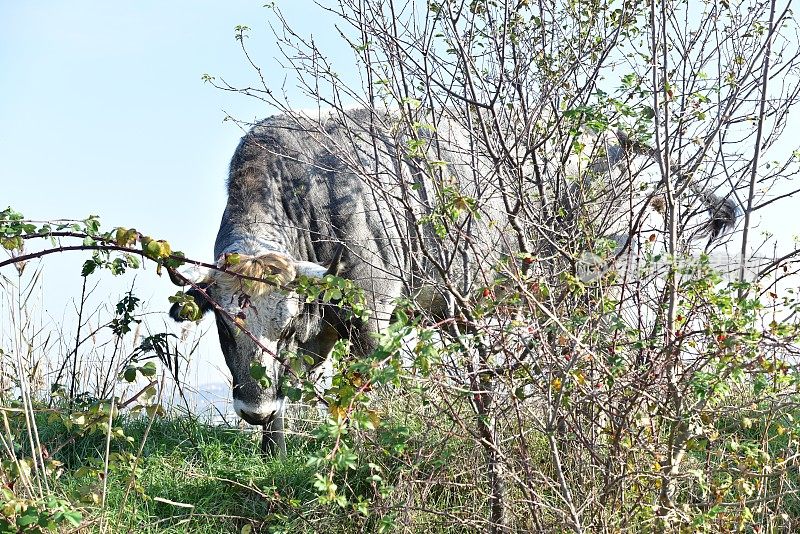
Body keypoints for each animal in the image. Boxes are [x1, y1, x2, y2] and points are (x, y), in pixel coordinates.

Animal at [167, 109, 736, 456]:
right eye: (223, 327)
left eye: (281, 327)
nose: (252, 408)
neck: (303, 193)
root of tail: (616, 141)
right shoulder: (322, 329)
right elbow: (293, 389)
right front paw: (276, 451)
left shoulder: (370, 315)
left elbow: (366, 392)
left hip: (596, 288)